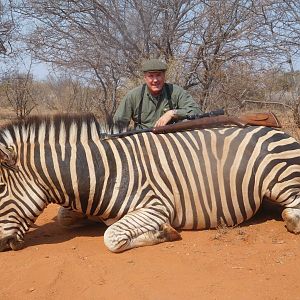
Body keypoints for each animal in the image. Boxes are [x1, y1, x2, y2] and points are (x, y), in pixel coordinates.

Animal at [0, 113, 300, 252]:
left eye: (0, 188)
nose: (1, 246)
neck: (101, 171)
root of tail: (279, 130)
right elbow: (65, 217)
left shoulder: (155, 207)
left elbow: (111, 237)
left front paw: (165, 233)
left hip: (281, 179)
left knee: (293, 210)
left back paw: (289, 219)